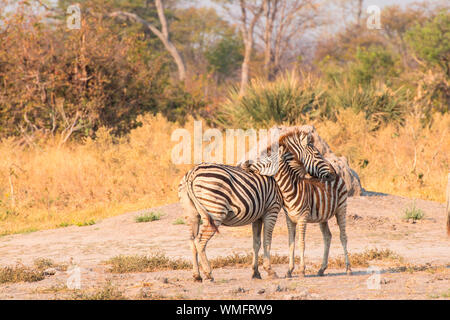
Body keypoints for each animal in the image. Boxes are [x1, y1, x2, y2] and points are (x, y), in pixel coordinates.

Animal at [243, 127, 352, 278]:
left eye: (268, 161)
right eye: (317, 154)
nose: (245, 164)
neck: (290, 189)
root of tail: (339, 177)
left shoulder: (302, 218)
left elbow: (301, 243)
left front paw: (301, 270)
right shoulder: (290, 219)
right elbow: (291, 243)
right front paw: (289, 271)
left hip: (341, 209)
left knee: (343, 236)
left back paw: (348, 269)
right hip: (323, 216)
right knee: (327, 237)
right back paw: (322, 269)